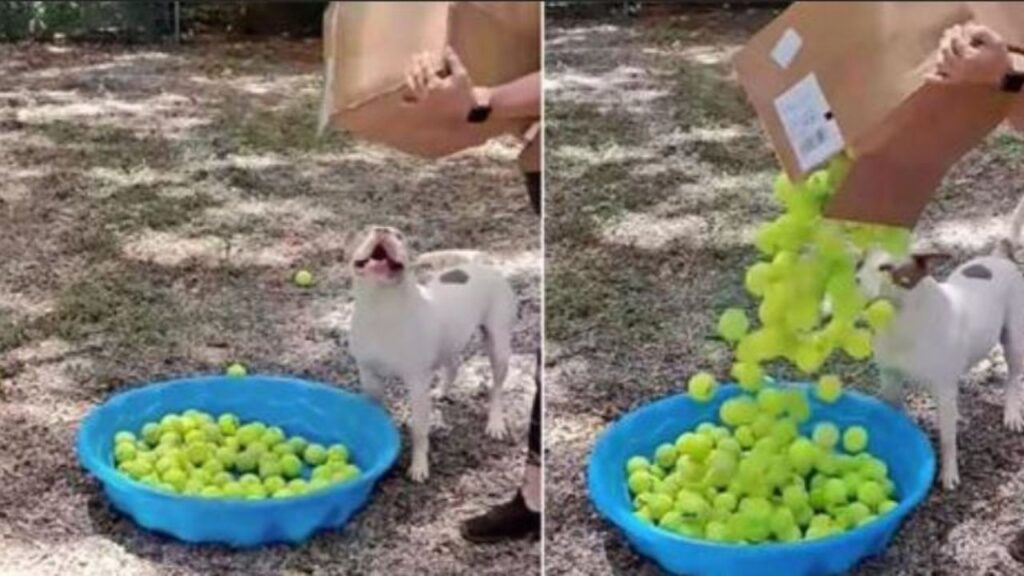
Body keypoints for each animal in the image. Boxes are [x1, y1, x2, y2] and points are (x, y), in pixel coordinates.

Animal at [348, 224, 516, 479]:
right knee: (454, 365)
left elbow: (419, 431)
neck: (381, 306)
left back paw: (495, 424)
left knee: (496, 388)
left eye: (400, 236)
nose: (382, 229)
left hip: (498, 346)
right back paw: (441, 391)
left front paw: (419, 467)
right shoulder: (369, 376)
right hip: (450, 341)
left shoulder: (417, 384)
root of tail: (484, 266)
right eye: (364, 231)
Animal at [860, 198, 1024, 487]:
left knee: (1013, 376)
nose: (854, 281)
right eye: (861, 262)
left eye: (886, 268)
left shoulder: (943, 389)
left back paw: (1012, 413)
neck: (901, 323)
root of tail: (998, 256)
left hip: (1014, 339)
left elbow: (948, 439)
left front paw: (949, 474)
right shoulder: (890, 380)